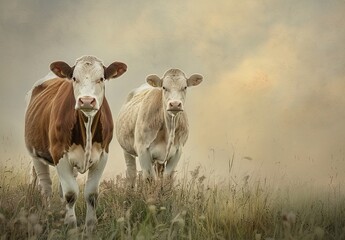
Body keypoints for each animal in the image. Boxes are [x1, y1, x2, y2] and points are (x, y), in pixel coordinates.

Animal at [24, 55, 126, 232]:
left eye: (101, 78)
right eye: (74, 78)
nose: (86, 101)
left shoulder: (103, 155)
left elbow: (91, 195)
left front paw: (90, 227)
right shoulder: (60, 154)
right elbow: (70, 194)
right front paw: (71, 227)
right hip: (35, 154)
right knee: (46, 187)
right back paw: (48, 214)